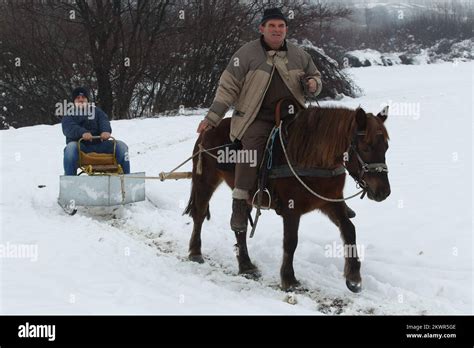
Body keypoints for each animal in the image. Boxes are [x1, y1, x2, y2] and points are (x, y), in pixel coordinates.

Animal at [183, 105, 390, 290]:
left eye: (386, 147)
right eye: (366, 147)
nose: (384, 192)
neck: (312, 157)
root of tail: (209, 129)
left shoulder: (330, 201)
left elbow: (349, 230)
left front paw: (353, 276)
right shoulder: (292, 209)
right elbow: (291, 241)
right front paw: (289, 279)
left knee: (239, 225)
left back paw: (245, 265)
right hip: (205, 181)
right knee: (199, 214)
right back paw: (195, 251)